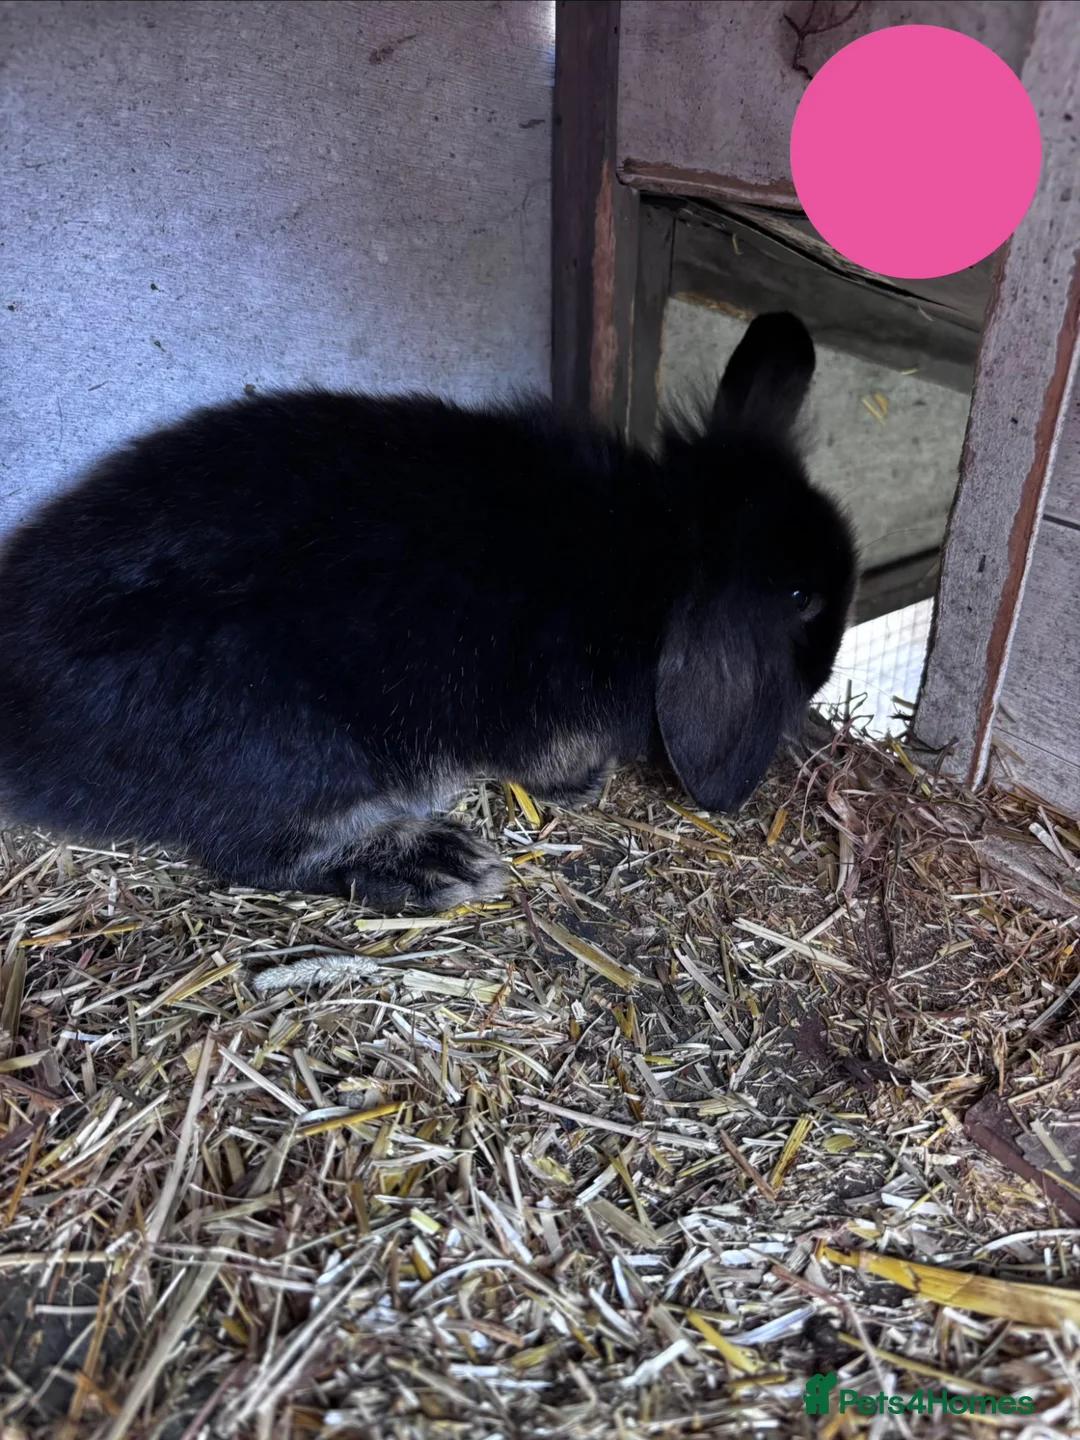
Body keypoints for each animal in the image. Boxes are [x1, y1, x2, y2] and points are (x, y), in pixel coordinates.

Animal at [0, 312, 856, 912]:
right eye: (801, 598)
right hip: (295, 747)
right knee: (262, 853)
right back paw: (436, 864)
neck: (659, 548)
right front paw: (583, 783)